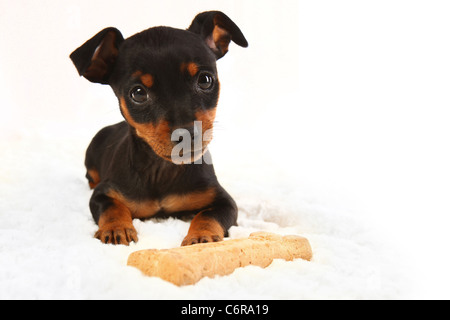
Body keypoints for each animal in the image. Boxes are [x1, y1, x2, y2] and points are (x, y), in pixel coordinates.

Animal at [69, 10, 248, 245]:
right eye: (138, 93)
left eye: (205, 80)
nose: (187, 135)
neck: (162, 168)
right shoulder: (103, 194)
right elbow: (112, 207)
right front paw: (117, 228)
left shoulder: (224, 201)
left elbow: (208, 214)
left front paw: (201, 236)